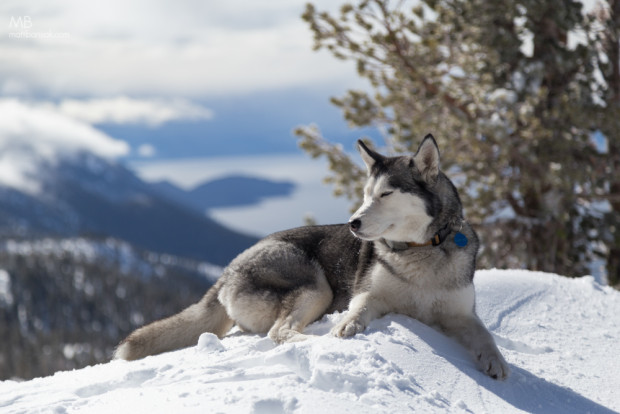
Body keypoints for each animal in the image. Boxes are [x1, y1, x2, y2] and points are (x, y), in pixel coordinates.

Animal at [115, 134, 508, 380]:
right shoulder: (369, 294)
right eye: (366, 193)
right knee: (280, 332)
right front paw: (347, 326)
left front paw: (497, 362)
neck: (421, 250)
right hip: (316, 286)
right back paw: (318, 340)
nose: (353, 223)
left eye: (386, 194)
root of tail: (227, 271)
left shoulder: (461, 314)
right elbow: (360, 309)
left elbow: (484, 336)